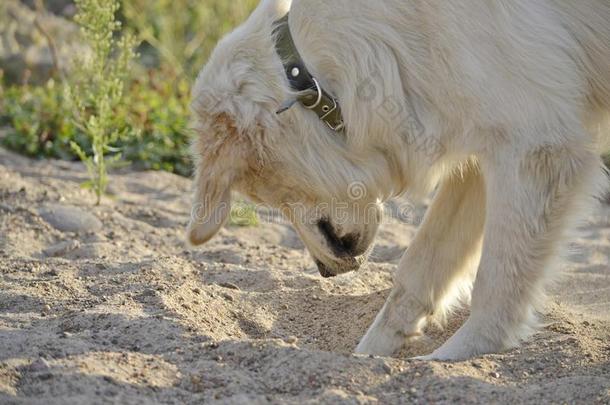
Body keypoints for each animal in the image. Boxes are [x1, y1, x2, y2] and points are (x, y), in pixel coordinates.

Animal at [185, 0, 608, 360]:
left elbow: (497, 279)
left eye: (268, 194)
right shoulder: (482, 151)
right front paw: (371, 356)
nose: (324, 273)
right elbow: (419, 267)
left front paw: (453, 357)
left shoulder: (534, 147)